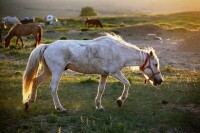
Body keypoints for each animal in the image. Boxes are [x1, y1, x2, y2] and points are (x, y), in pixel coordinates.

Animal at [22, 33, 162, 111]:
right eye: (155, 64)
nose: (160, 81)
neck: (119, 51)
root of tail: (48, 46)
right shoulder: (115, 72)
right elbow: (127, 83)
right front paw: (120, 100)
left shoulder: (104, 74)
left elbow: (101, 90)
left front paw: (99, 106)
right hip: (57, 71)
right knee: (53, 88)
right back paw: (60, 108)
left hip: (48, 71)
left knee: (36, 81)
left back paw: (29, 102)